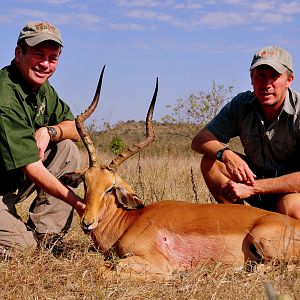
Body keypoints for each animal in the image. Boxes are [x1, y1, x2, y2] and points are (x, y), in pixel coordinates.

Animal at [61, 67, 300, 276]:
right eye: (86, 182)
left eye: (110, 188)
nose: (87, 222)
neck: (129, 221)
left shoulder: (154, 262)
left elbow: (106, 269)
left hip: (262, 240)